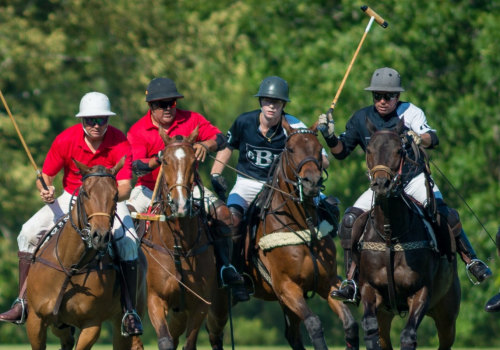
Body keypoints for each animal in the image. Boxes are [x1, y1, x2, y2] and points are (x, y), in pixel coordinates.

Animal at [25, 159, 146, 350]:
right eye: (86, 194)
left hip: (124, 319)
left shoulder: (91, 324)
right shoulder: (36, 320)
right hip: (58, 325)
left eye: (115, 195)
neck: (70, 266)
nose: (101, 236)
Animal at [140, 128, 216, 350]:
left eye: (194, 161)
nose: (180, 205)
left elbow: (188, 344)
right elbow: (165, 341)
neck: (177, 244)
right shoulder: (154, 298)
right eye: (164, 161)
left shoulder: (201, 304)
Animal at [207, 119, 360, 350]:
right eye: (290, 149)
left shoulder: (327, 283)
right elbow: (314, 323)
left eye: (318, 149)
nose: (311, 182)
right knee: (211, 331)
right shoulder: (287, 287)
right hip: (219, 299)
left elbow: (350, 323)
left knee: (292, 335)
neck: (302, 225)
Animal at [356, 118, 460, 350]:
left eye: (399, 150)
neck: (390, 235)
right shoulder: (370, 289)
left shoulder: (421, 292)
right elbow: (370, 328)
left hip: (447, 311)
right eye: (369, 150)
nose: (381, 184)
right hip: (386, 314)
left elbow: (408, 335)